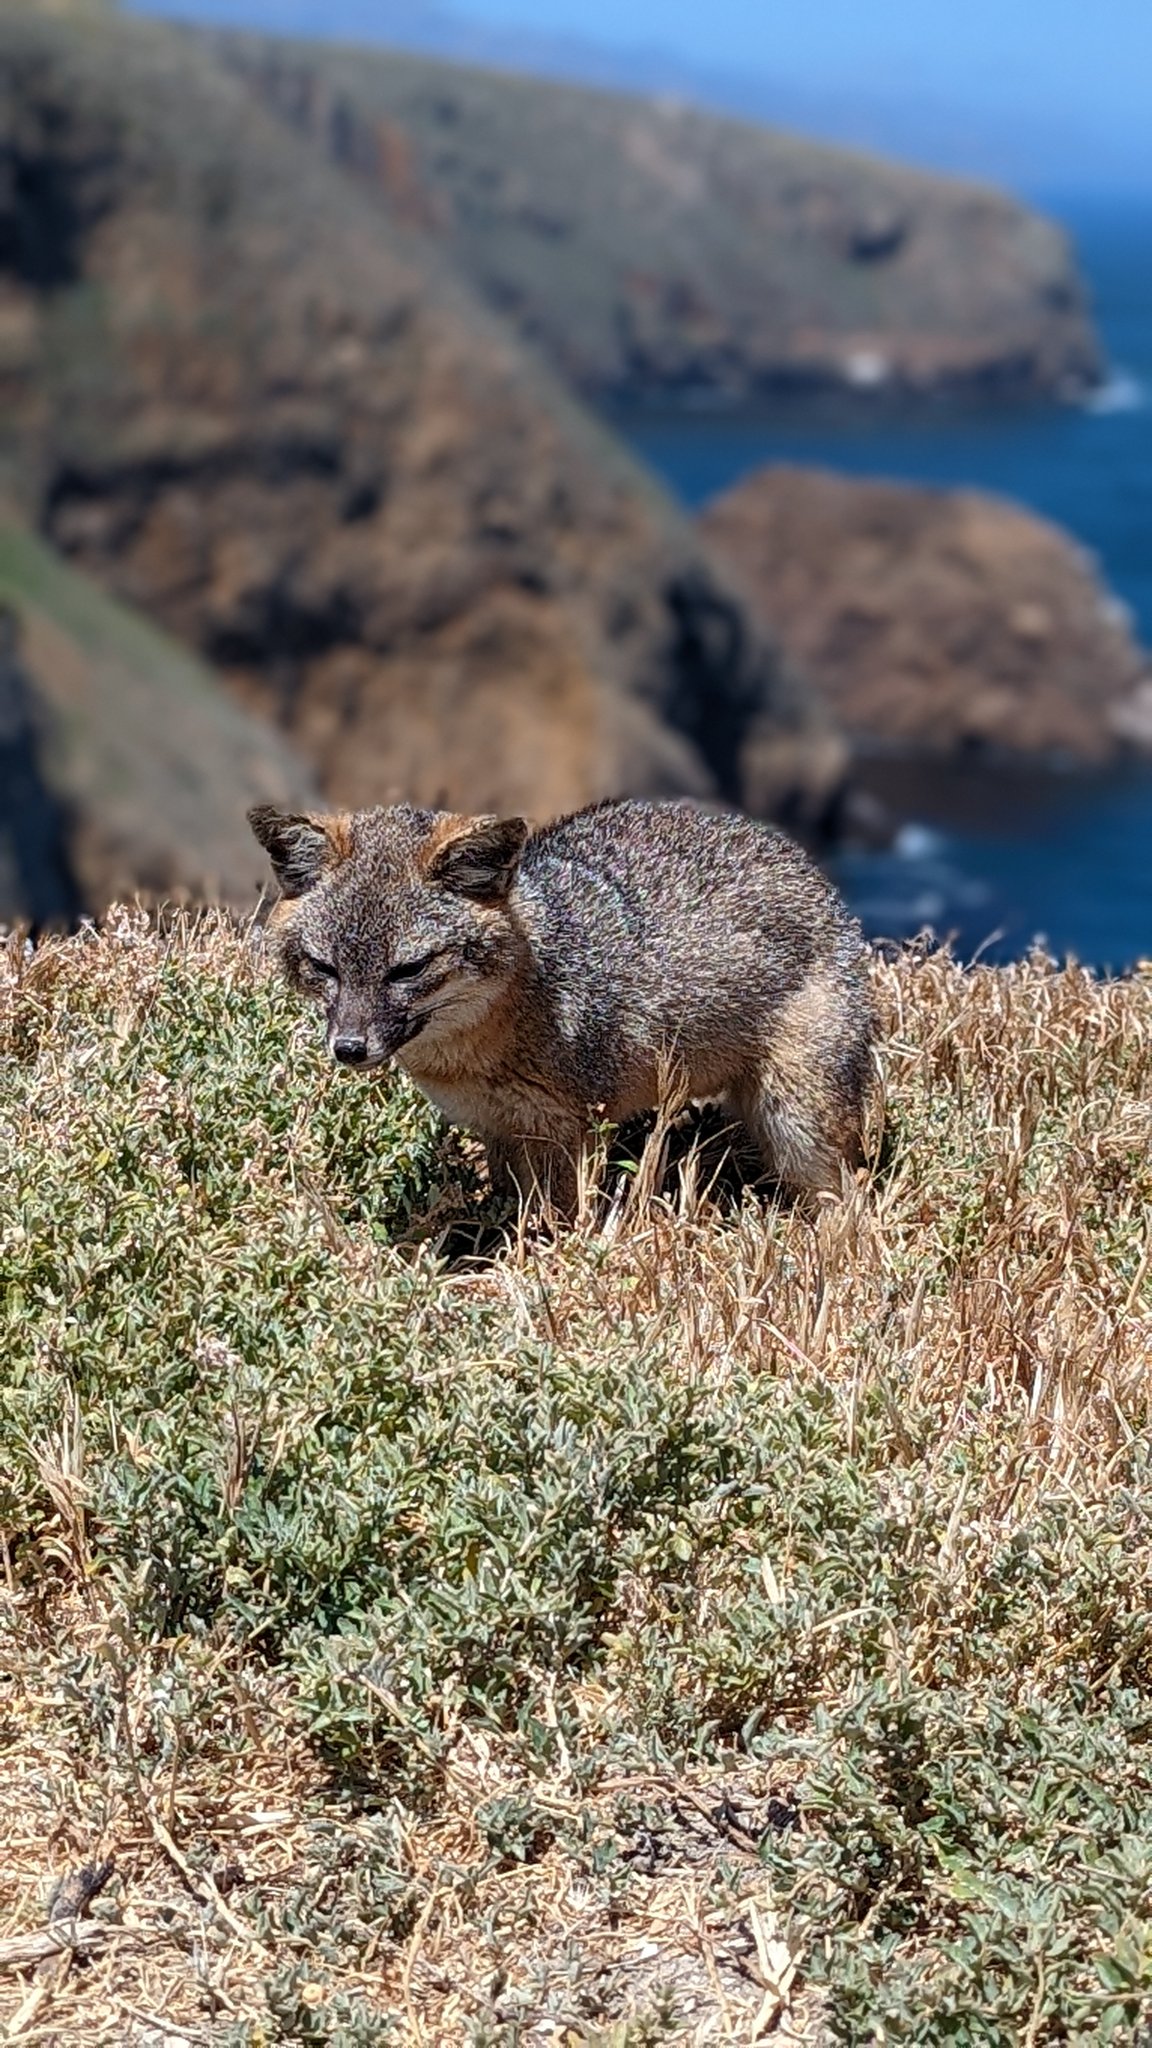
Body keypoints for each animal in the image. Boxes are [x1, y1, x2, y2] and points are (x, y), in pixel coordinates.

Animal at [249, 797, 875, 1216]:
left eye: (408, 968)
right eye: (324, 967)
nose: (349, 1048)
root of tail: (801, 862)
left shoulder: (572, 1131)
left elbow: (564, 1220)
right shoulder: (500, 1131)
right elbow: (517, 1209)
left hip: (797, 1126)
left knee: (849, 1196)